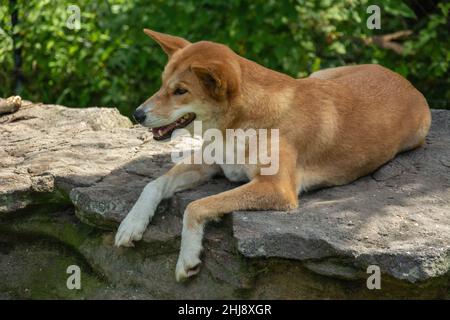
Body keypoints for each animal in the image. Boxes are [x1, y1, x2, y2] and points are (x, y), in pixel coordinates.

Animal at [114, 28, 430, 282]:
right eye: (162, 83)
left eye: (180, 91)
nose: (138, 114)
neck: (238, 124)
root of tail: (403, 79)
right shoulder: (210, 162)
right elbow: (153, 184)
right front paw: (131, 224)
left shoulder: (276, 188)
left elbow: (196, 206)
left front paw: (188, 256)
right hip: (319, 76)